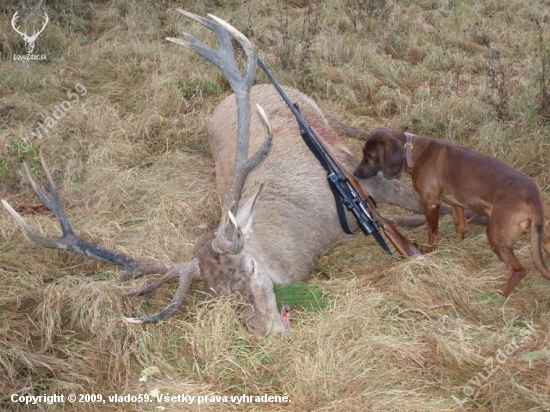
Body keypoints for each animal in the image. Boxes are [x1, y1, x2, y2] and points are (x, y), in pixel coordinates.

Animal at [354, 127, 550, 294]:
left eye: (371, 156)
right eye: (363, 153)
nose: (355, 173)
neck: (413, 151)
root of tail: (533, 193)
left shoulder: (431, 203)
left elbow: (432, 232)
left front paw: (428, 251)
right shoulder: (457, 204)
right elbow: (459, 226)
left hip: (496, 235)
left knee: (518, 270)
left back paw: (499, 293)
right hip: (543, 236)